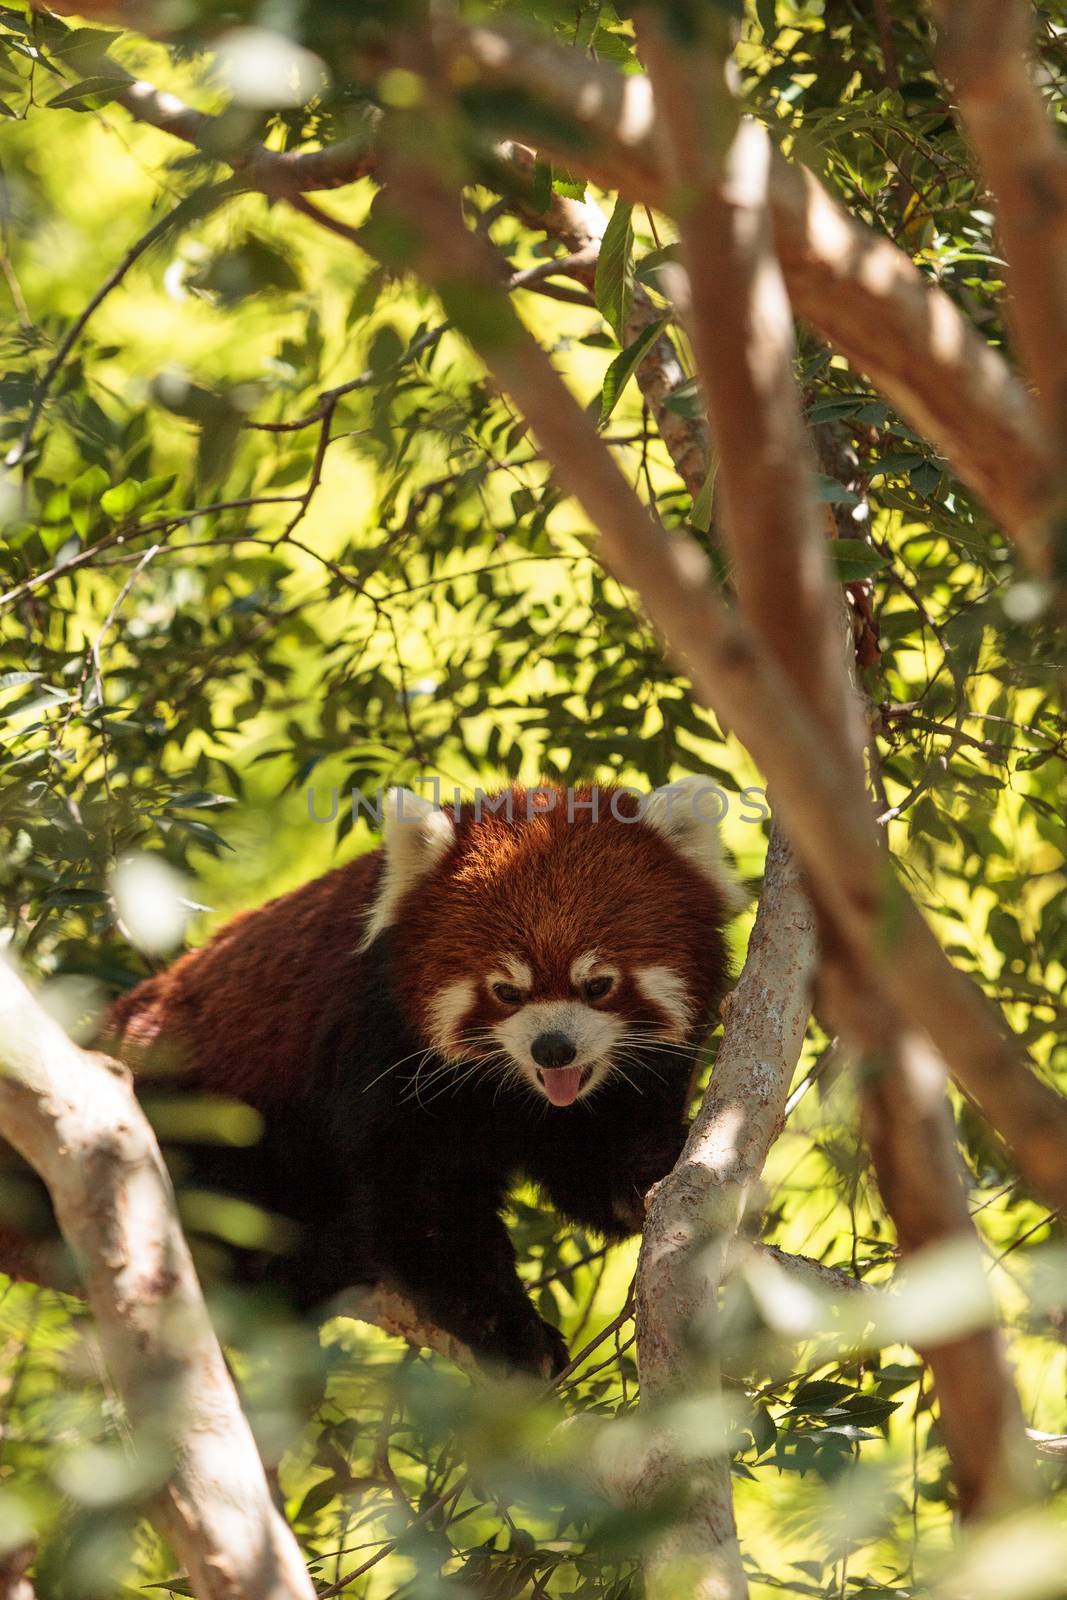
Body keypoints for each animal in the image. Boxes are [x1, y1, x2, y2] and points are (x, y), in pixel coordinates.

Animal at [102, 780, 742, 1369]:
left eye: (598, 984)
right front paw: (515, 1334)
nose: (553, 1050)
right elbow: (419, 1209)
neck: (516, 1091)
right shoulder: (381, 1043)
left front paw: (661, 1172)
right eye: (506, 991)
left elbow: (600, 1166)